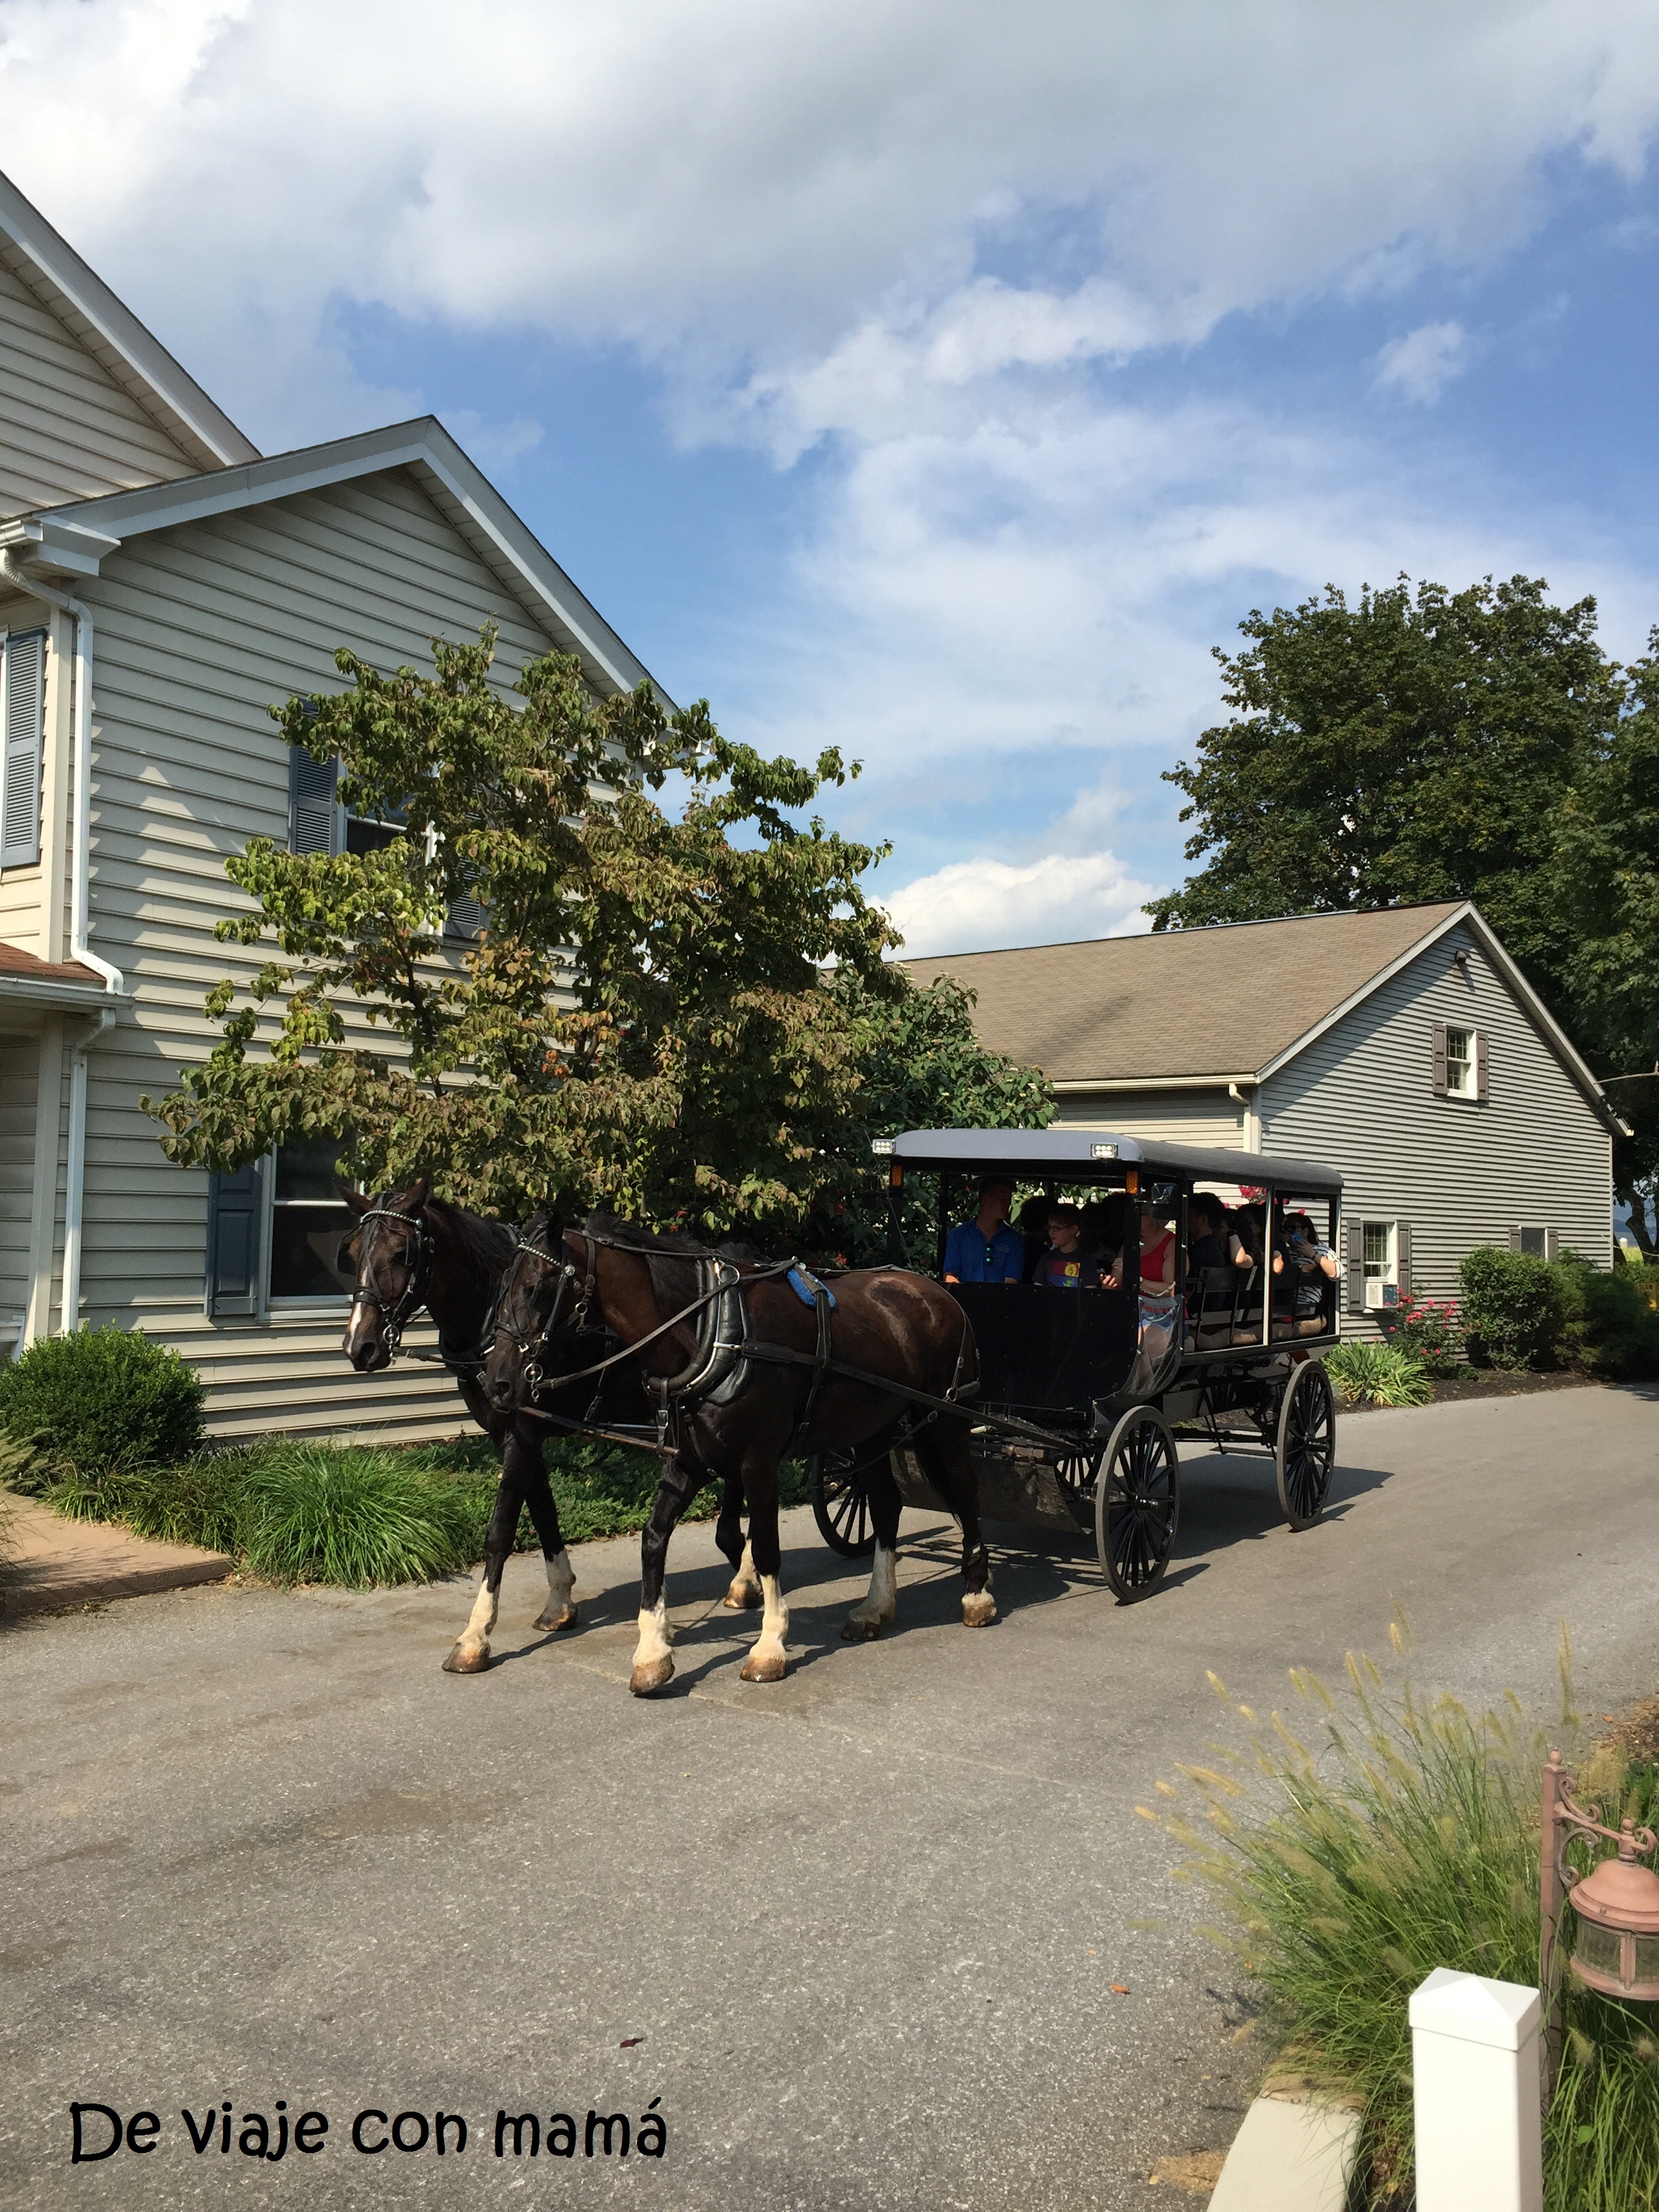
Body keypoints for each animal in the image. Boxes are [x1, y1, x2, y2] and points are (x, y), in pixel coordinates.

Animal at [337, 1177, 585, 1674]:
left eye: (402, 1253)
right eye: (352, 1252)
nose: (360, 1345)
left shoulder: (524, 1433)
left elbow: (500, 1532)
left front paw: (475, 1637)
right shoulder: (510, 1432)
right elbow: (543, 1510)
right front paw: (559, 1602)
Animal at [482, 1210, 993, 1697]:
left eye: (534, 1288)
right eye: (501, 1286)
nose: (498, 1382)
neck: (713, 1332)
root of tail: (938, 1294)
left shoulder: (758, 1463)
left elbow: (765, 1549)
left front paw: (769, 1646)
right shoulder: (687, 1461)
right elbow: (653, 1539)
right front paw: (652, 1654)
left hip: (946, 1420)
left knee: (966, 1492)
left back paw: (977, 1595)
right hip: (871, 1428)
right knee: (887, 1504)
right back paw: (875, 1608)